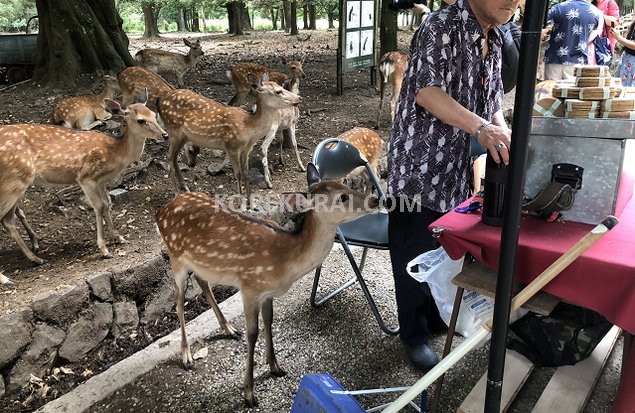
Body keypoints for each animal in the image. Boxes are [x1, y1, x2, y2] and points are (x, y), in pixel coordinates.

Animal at [0, 92, 168, 262]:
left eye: (153, 114)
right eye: (141, 120)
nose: (165, 135)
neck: (115, 154)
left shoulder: (101, 182)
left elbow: (107, 204)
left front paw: (120, 237)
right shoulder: (85, 178)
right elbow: (99, 207)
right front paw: (104, 249)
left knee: (9, 219)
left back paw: (35, 253)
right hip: (14, 181)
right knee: (6, 219)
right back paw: (30, 262)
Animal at [156, 163, 380, 406]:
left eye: (345, 184)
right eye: (342, 197)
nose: (376, 200)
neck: (286, 262)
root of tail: (161, 212)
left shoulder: (267, 292)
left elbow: (269, 322)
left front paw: (275, 366)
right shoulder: (250, 287)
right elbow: (253, 333)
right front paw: (249, 393)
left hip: (198, 263)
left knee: (202, 282)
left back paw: (228, 328)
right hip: (175, 257)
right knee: (179, 302)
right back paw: (187, 355)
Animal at [157, 73, 300, 200]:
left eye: (281, 87)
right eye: (278, 91)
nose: (299, 98)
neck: (249, 128)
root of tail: (160, 99)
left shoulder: (246, 149)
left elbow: (246, 174)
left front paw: (250, 203)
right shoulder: (232, 146)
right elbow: (238, 174)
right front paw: (241, 202)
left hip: (184, 136)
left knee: (174, 157)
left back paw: (185, 188)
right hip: (173, 130)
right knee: (169, 158)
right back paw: (176, 193)